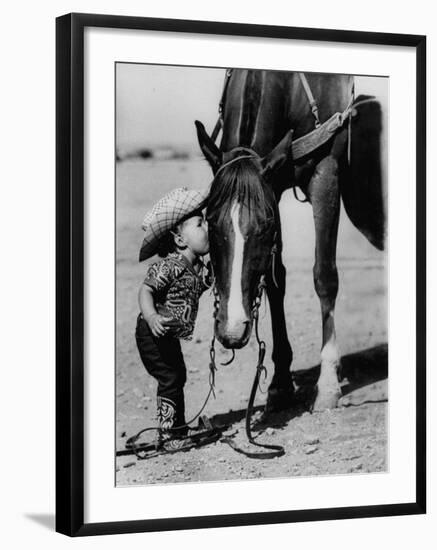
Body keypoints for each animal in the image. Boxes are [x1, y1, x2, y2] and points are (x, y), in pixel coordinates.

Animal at [193, 70, 382, 414]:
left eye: (265, 224)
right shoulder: (274, 185)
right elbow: (275, 279)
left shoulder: (326, 173)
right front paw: (280, 383)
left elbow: (324, 276)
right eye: (209, 219)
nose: (232, 329)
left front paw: (328, 384)